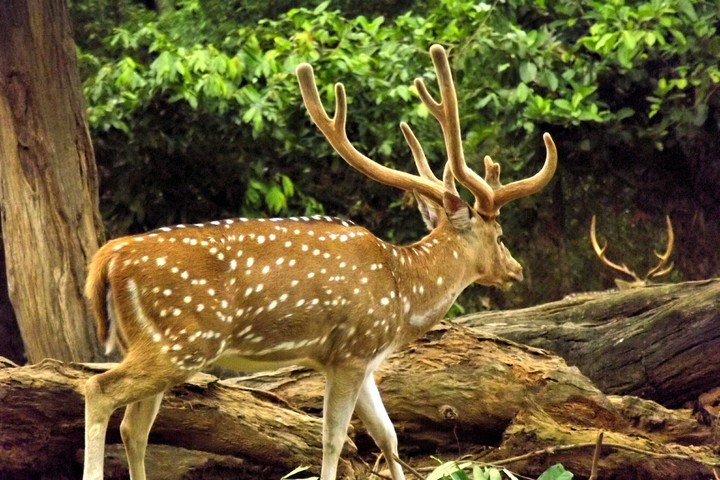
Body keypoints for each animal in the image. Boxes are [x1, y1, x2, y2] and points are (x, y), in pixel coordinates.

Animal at [82, 44, 557, 480]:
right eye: (500, 235)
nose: (515, 268)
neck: (404, 293)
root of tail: (108, 257)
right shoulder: (351, 351)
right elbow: (333, 439)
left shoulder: (363, 360)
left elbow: (388, 435)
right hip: (182, 341)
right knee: (98, 388)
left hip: (151, 344)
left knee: (133, 428)